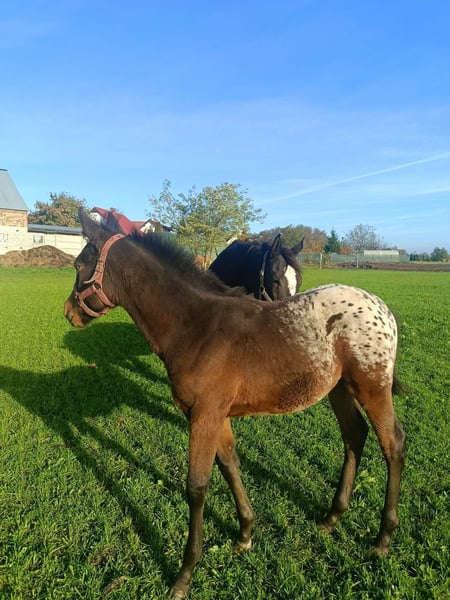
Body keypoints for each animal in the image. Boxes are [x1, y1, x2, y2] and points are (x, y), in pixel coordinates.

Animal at [64, 210, 406, 599]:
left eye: (78, 265)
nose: (69, 312)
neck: (197, 326)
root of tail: (383, 310)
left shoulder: (203, 415)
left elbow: (196, 487)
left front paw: (184, 574)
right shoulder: (216, 415)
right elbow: (230, 465)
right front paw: (244, 534)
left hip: (372, 387)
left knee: (392, 444)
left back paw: (382, 538)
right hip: (340, 389)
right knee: (354, 436)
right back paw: (332, 517)